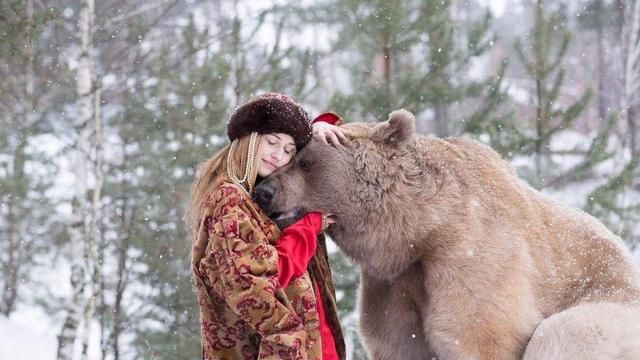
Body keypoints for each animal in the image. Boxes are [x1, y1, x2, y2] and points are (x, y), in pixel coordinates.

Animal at [252, 109, 640, 360]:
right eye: (292, 155)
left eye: (305, 161)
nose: (263, 191)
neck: (420, 231)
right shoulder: (394, 286)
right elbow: (398, 340)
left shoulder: (472, 259)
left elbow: (476, 332)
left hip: (611, 311)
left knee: (561, 334)